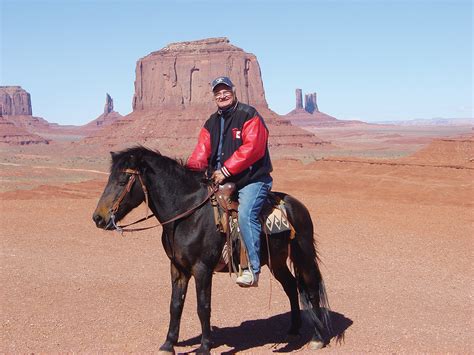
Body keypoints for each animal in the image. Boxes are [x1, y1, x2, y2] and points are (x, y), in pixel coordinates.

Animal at [91, 147, 330, 354]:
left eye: (122, 181)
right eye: (109, 179)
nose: (98, 218)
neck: (187, 214)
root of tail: (295, 204)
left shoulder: (202, 268)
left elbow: (203, 306)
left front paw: (205, 346)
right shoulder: (177, 267)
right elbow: (175, 305)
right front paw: (168, 344)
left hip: (303, 254)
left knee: (310, 288)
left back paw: (317, 339)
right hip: (276, 261)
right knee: (291, 286)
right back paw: (293, 330)